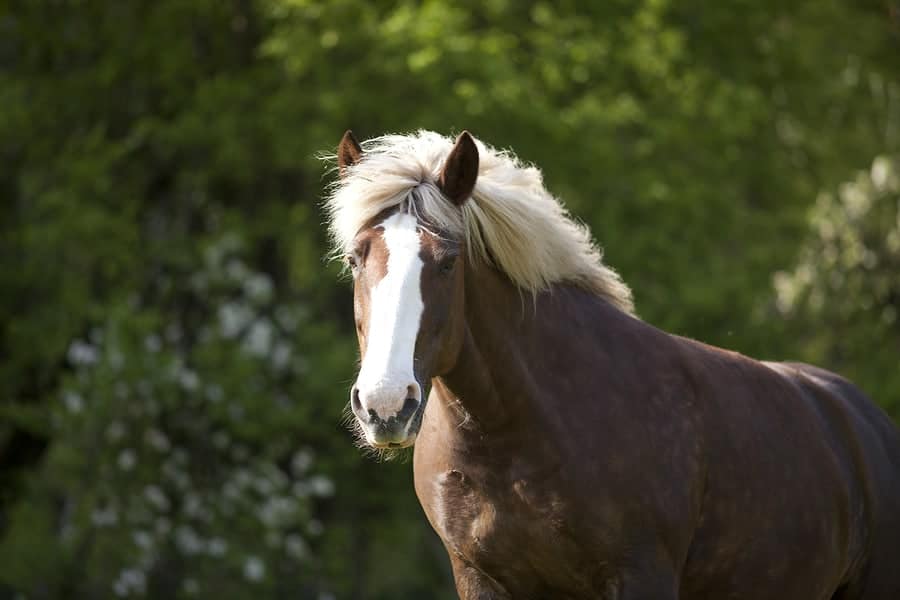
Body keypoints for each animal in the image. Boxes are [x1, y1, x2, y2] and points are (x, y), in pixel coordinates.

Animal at [324, 131, 900, 600]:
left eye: (447, 262)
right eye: (355, 258)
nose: (385, 405)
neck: (520, 434)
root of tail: (861, 418)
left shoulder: (640, 575)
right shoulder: (480, 579)